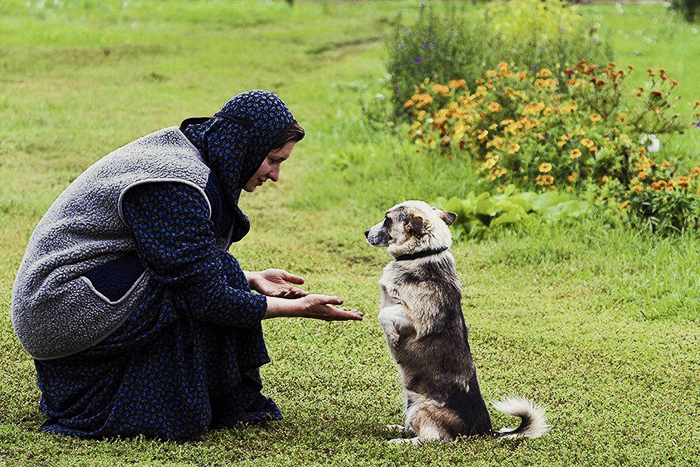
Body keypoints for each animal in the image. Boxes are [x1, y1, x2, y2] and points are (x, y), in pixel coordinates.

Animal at [364, 201, 548, 446]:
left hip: (420, 408)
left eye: (387, 219)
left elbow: (384, 314)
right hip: (411, 402)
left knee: (431, 439)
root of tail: (484, 431)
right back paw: (399, 429)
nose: (365, 232)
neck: (421, 254)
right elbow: (383, 311)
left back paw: (401, 441)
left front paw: (392, 338)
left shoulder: (415, 317)